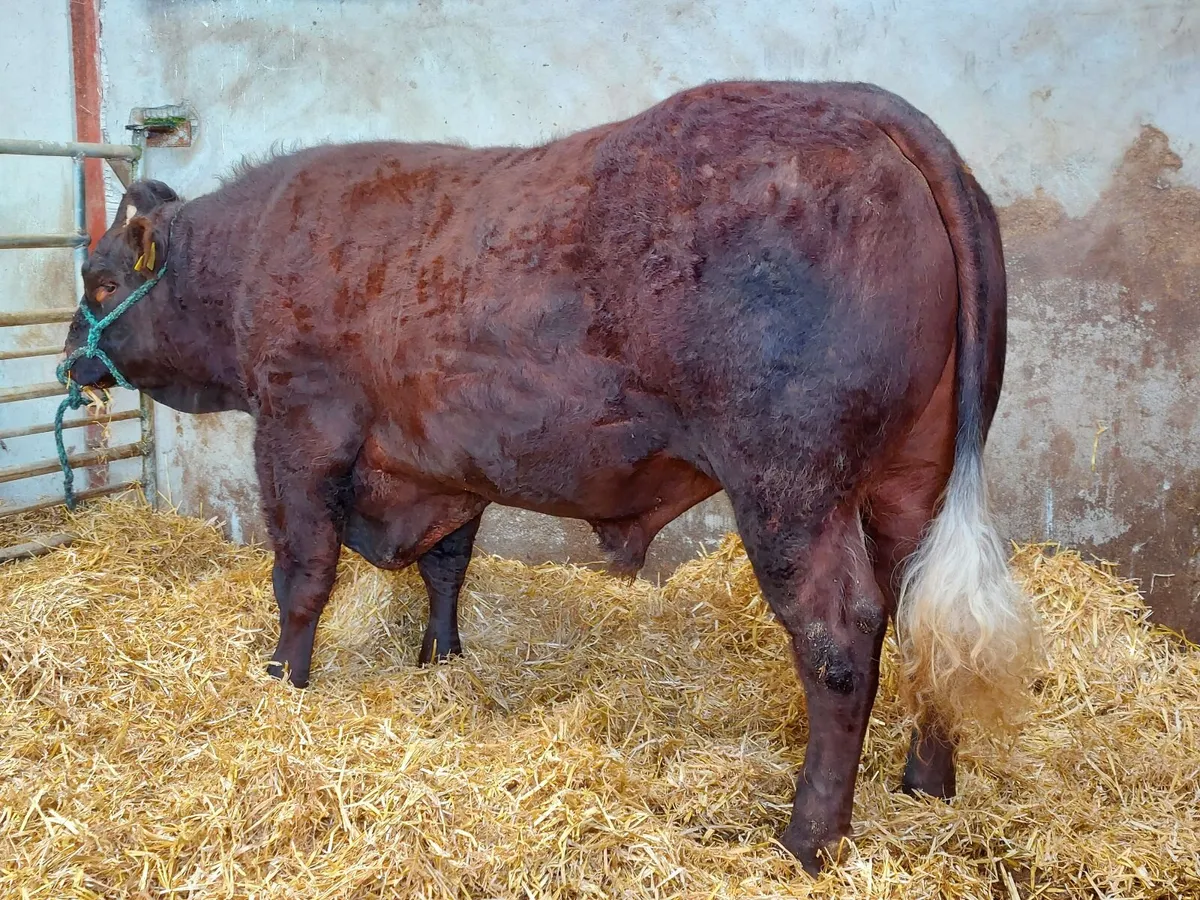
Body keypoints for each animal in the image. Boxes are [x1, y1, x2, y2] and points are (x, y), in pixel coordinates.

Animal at [63, 80, 1037, 872]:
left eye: (99, 277)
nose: (74, 359)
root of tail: (866, 110)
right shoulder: (442, 458)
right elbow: (447, 564)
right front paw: (440, 658)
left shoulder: (299, 428)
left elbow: (301, 575)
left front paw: (281, 679)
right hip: (911, 479)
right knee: (921, 615)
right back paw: (926, 783)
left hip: (791, 484)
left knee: (840, 638)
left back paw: (806, 840)